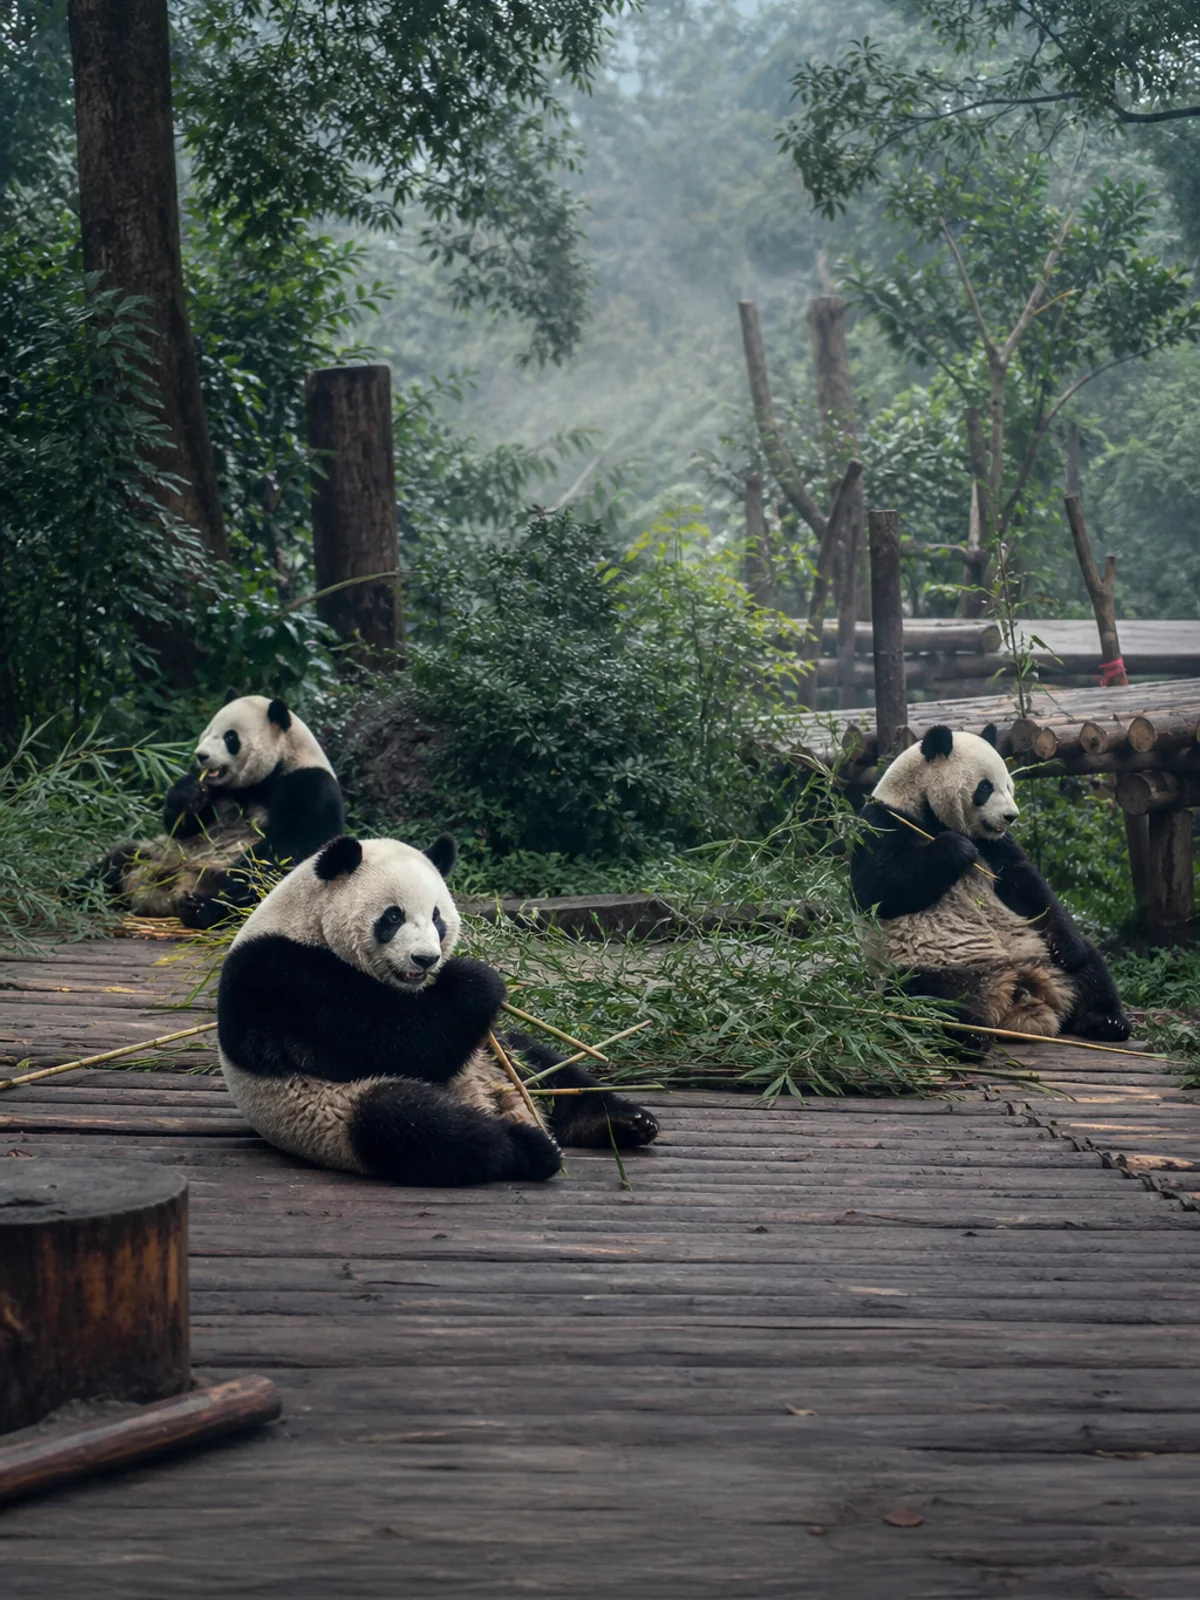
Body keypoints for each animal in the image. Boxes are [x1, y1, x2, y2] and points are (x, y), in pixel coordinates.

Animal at [102, 694, 344, 930]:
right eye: (207, 732)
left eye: (230, 738)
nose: (201, 755)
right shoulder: (216, 788)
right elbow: (183, 827)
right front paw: (188, 793)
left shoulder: (307, 784)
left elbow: (287, 849)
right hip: (160, 853)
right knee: (119, 859)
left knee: (254, 892)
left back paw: (201, 908)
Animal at [216, 831, 661, 1185]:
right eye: (392, 916)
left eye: (436, 917)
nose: (426, 959)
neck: (306, 920)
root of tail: (486, 1096)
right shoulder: (283, 976)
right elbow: (396, 1041)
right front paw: (475, 979)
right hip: (331, 1110)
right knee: (416, 1126)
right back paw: (530, 1149)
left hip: (499, 1056)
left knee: (549, 1069)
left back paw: (621, 1121)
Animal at [849, 725, 1130, 1046]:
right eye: (984, 788)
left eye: (1009, 786)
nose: (1011, 817)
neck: (923, 803)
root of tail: (1016, 989)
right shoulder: (884, 821)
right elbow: (875, 888)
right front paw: (956, 848)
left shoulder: (996, 845)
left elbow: (1028, 885)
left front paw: (1068, 950)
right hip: (929, 967)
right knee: (921, 996)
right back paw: (971, 1032)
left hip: (1040, 952)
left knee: (1091, 966)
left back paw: (1106, 1021)